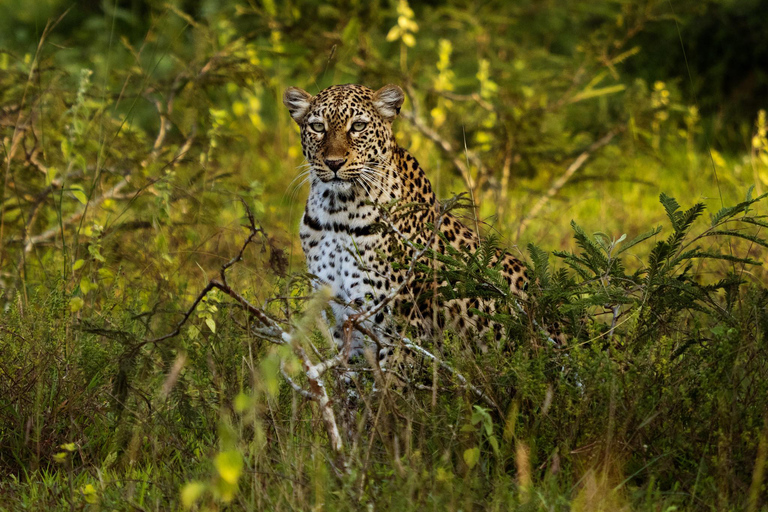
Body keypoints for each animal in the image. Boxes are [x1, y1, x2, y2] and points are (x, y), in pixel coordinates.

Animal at [282, 83, 552, 364]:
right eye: (317, 127)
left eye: (358, 126)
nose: (333, 163)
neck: (336, 213)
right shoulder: (339, 320)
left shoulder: (398, 330)